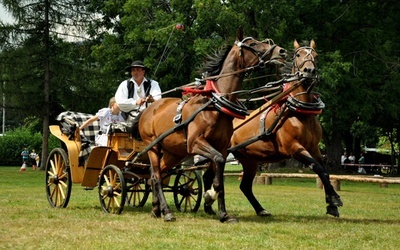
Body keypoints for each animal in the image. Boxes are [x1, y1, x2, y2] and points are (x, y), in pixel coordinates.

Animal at [138, 27, 288, 223]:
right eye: (253, 44)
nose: (282, 52)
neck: (215, 105)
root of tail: (148, 108)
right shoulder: (196, 143)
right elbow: (216, 161)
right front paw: (210, 195)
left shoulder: (222, 147)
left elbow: (220, 177)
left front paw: (224, 214)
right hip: (153, 148)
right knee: (155, 176)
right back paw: (167, 211)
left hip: (174, 153)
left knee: (157, 174)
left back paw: (156, 209)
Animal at [230, 40, 342, 218]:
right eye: (298, 55)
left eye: (316, 55)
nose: (309, 71)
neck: (300, 113)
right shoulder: (294, 148)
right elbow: (317, 168)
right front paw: (335, 199)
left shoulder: (314, 148)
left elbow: (324, 171)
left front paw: (331, 202)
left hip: (249, 160)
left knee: (245, 186)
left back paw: (261, 210)